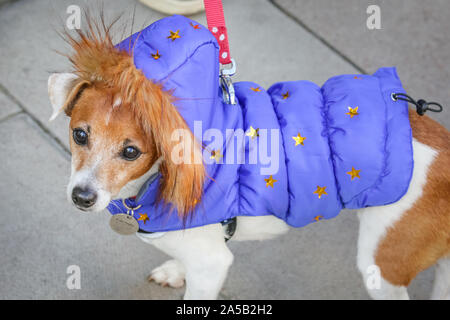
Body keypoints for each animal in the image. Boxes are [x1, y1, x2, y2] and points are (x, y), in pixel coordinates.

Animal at [48, 15, 450, 300]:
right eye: (80, 135)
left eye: (131, 151)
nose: (82, 197)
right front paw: (175, 270)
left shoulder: (211, 265)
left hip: (383, 264)